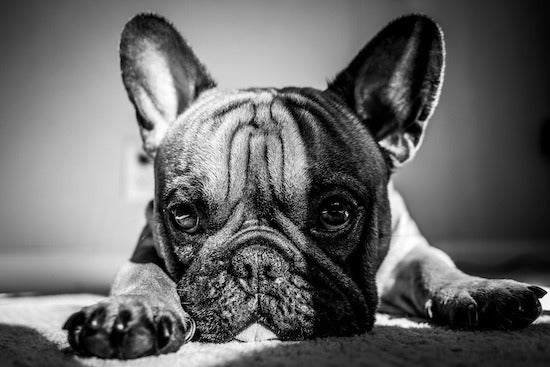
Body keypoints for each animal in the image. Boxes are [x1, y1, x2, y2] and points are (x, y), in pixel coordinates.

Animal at [62, 13, 544, 360]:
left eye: (335, 213)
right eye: (183, 215)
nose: (256, 264)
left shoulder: (408, 248)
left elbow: (435, 264)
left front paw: (482, 289)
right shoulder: (147, 240)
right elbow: (144, 272)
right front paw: (132, 313)